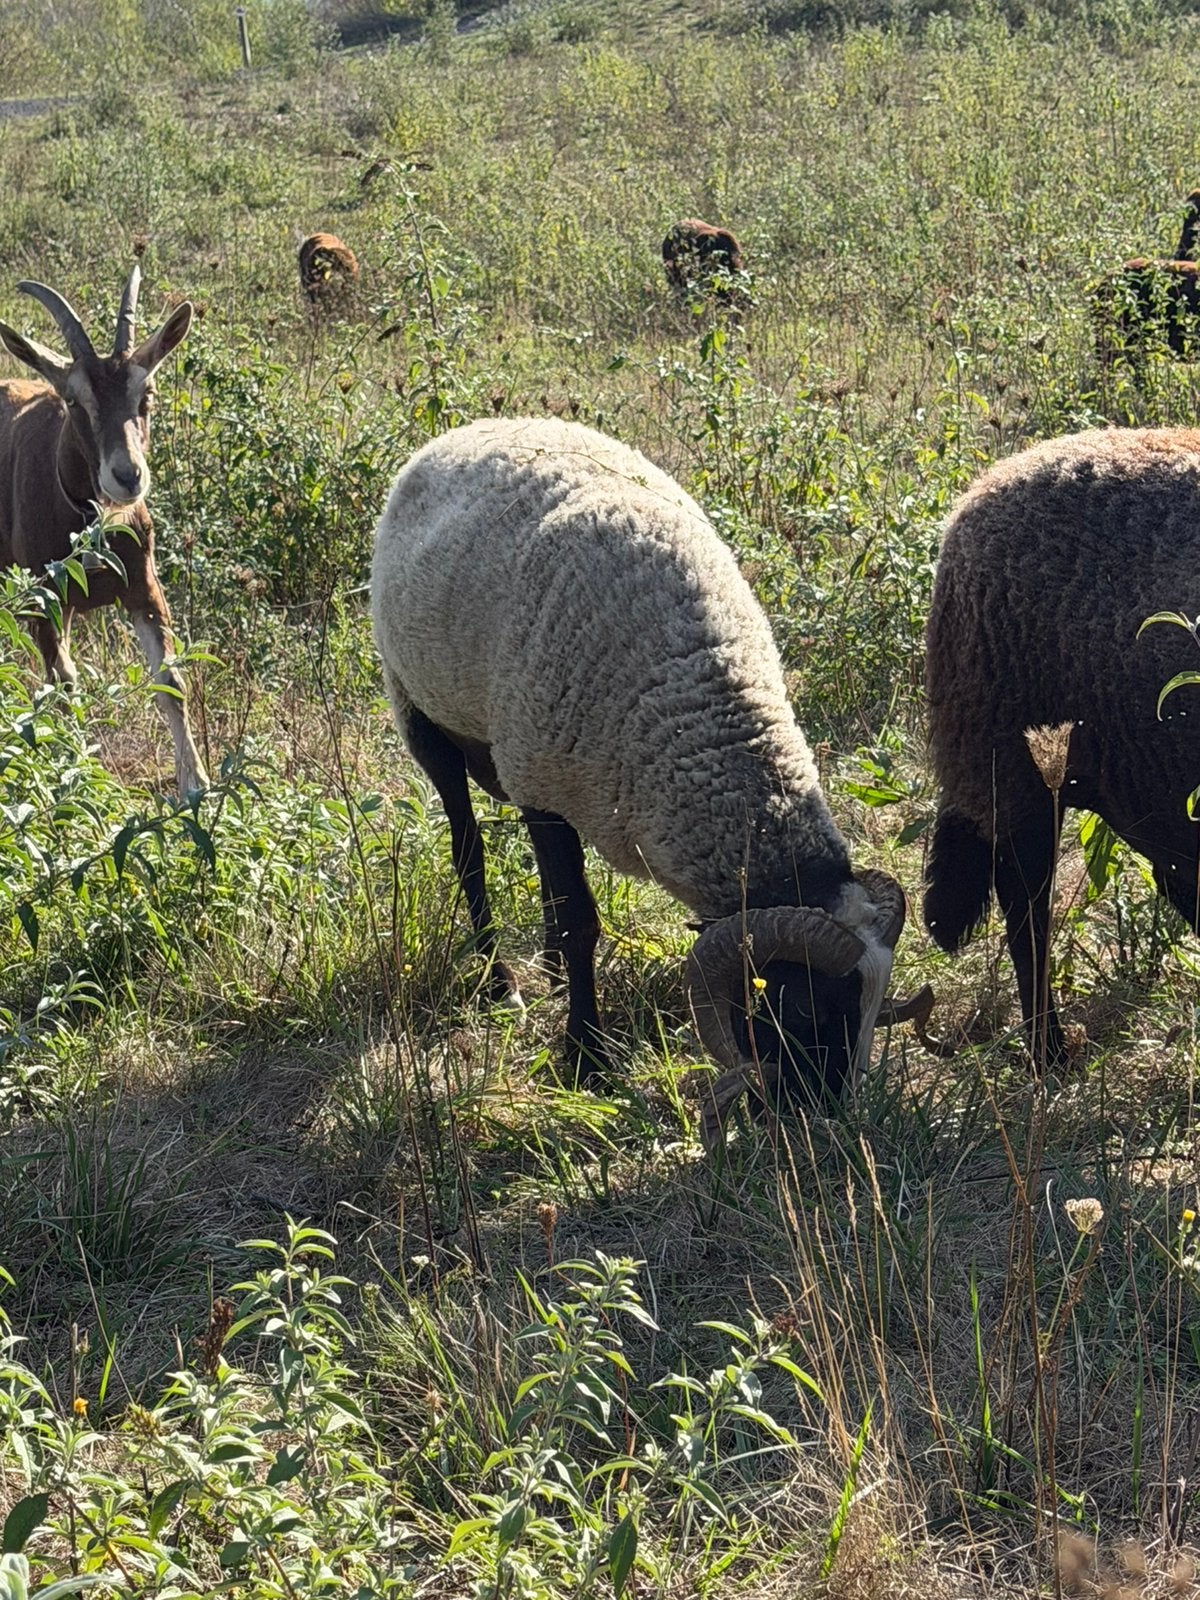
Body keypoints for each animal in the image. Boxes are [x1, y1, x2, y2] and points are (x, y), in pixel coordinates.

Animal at [0, 266, 207, 797]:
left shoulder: (144, 590)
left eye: (146, 394)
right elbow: (65, 684)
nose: (127, 476)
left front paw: (196, 785)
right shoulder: (42, 599)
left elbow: (171, 682)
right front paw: (74, 775)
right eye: (74, 401)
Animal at [371, 416, 928, 1143]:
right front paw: (585, 1059)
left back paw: (546, 972)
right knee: (469, 852)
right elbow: (580, 920)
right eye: (802, 1007)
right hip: (421, 711)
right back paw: (500, 981)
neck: (698, 692)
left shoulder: (548, 781)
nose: (820, 1124)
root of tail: (472, 426)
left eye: (870, 1010)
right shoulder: (545, 785)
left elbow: (565, 902)